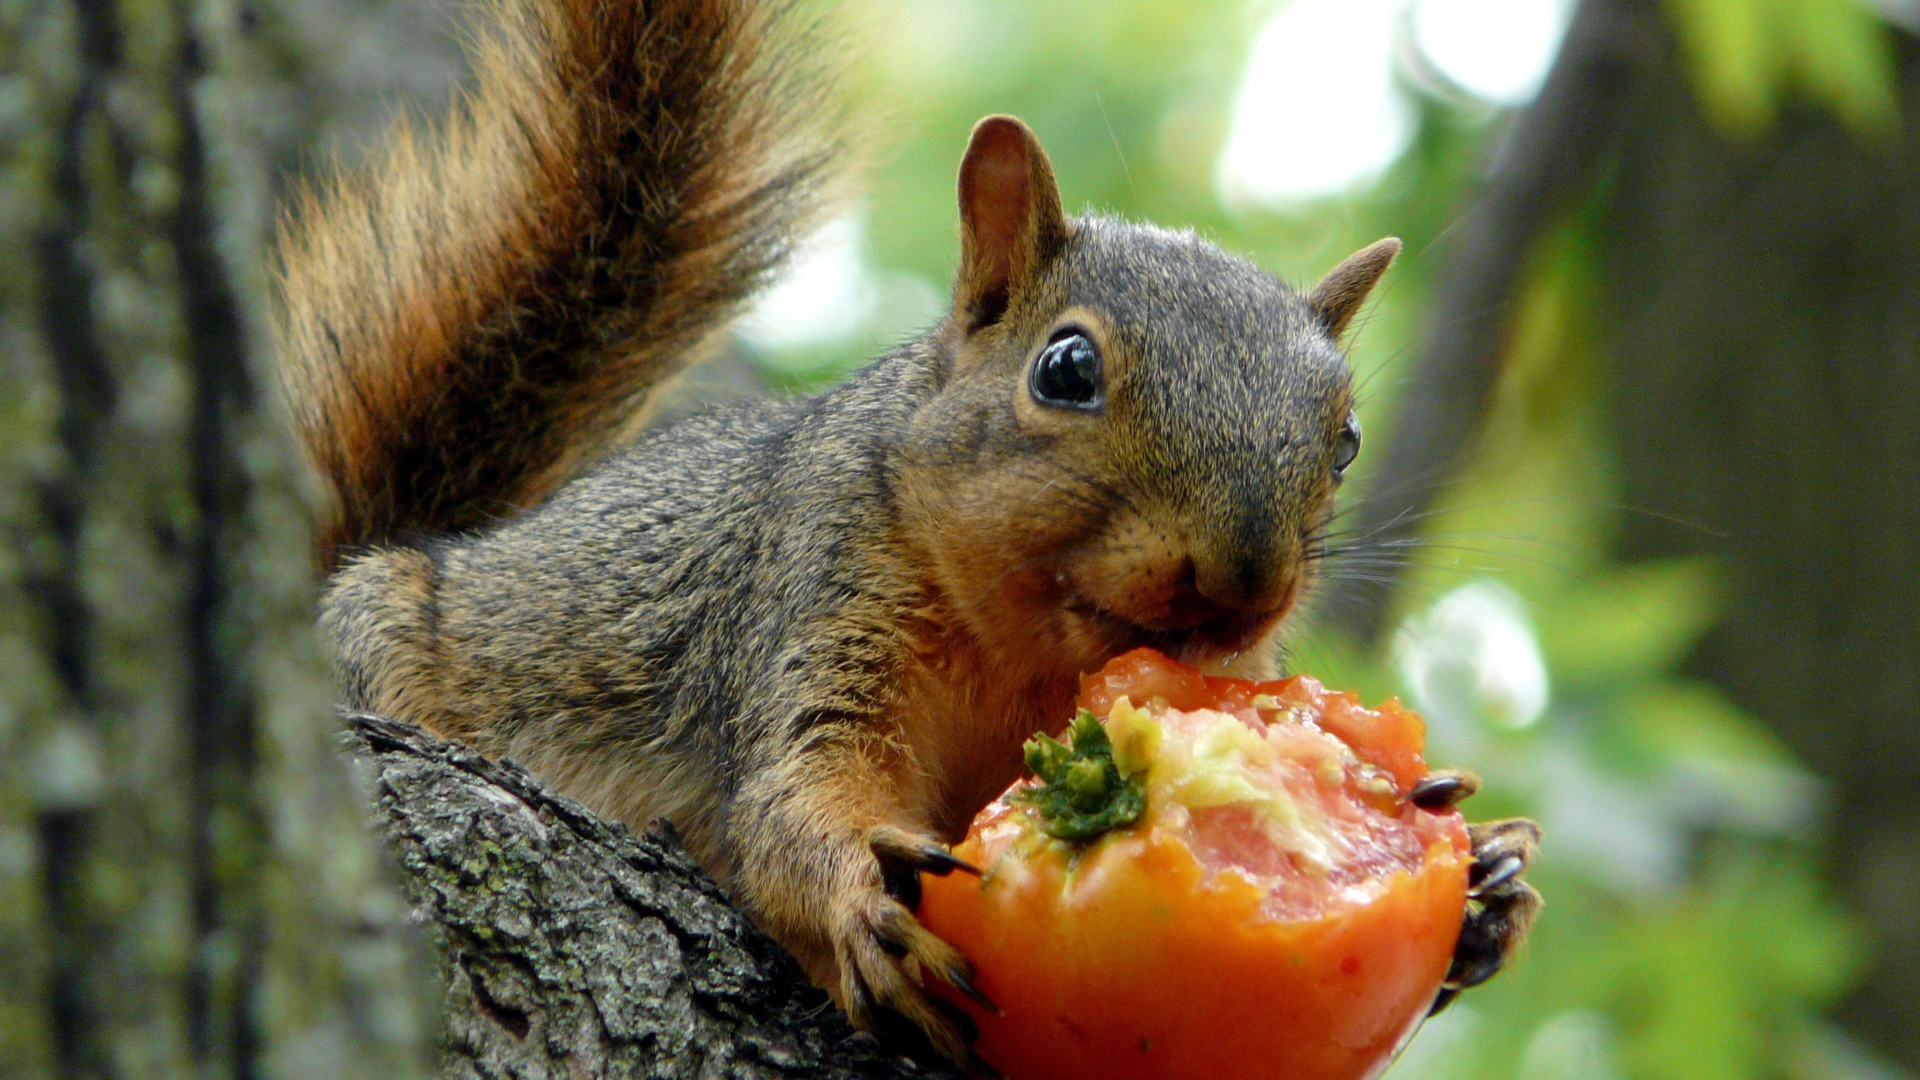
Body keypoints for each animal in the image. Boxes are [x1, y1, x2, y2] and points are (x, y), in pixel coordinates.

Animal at [274, 0, 1543, 1053]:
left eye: (1347, 439)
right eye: (1066, 369)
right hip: (380, 626)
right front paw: (860, 894)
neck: (1024, 661)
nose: (1244, 582)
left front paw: (1488, 883)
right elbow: (794, 790)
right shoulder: (817, 598)